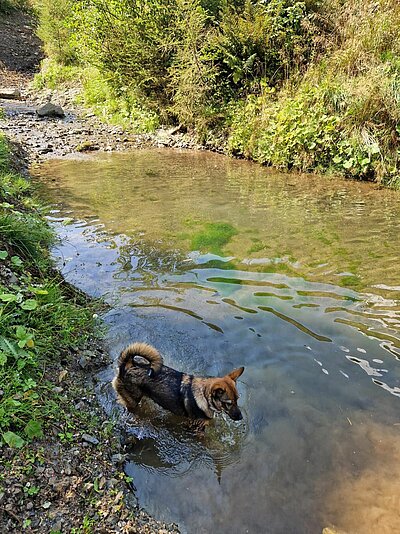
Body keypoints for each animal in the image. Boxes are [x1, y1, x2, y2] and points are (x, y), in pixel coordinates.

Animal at [111, 344, 245, 428]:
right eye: (228, 403)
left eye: (237, 399)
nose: (241, 417)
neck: (204, 396)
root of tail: (128, 365)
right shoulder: (195, 424)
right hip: (133, 400)